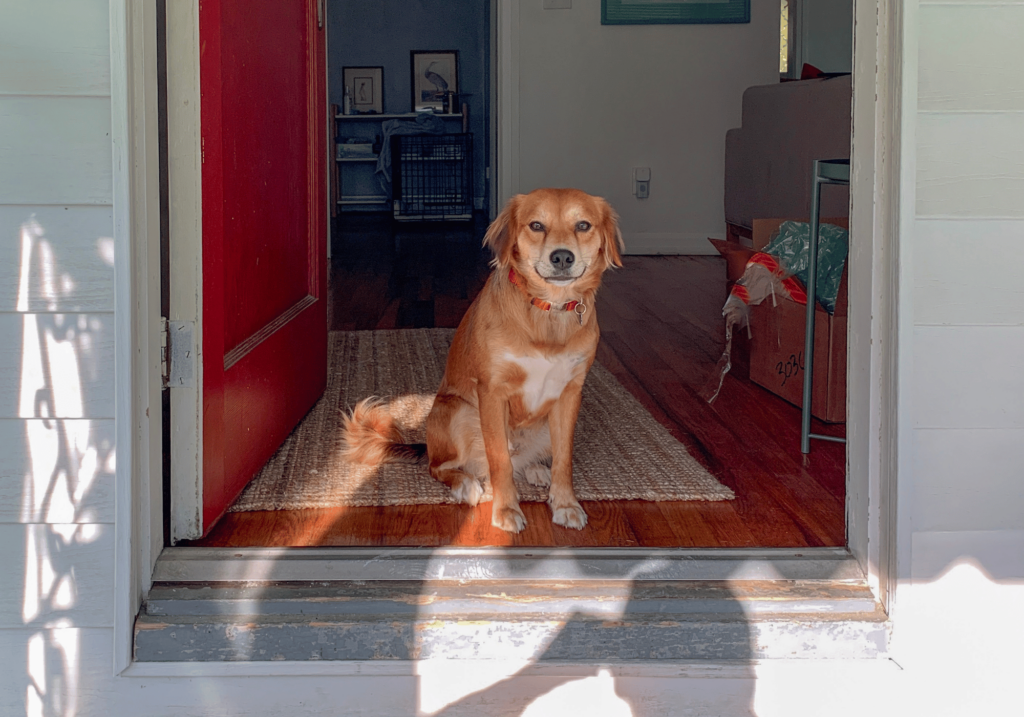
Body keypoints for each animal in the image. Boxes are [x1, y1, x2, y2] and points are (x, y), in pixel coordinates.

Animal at [342, 187, 622, 528]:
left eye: (583, 226)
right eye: (536, 225)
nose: (562, 257)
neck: (547, 311)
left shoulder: (570, 394)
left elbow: (563, 457)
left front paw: (565, 503)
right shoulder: (492, 392)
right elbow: (499, 459)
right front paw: (506, 510)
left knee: (525, 459)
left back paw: (536, 469)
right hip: (457, 412)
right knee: (442, 467)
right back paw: (467, 484)